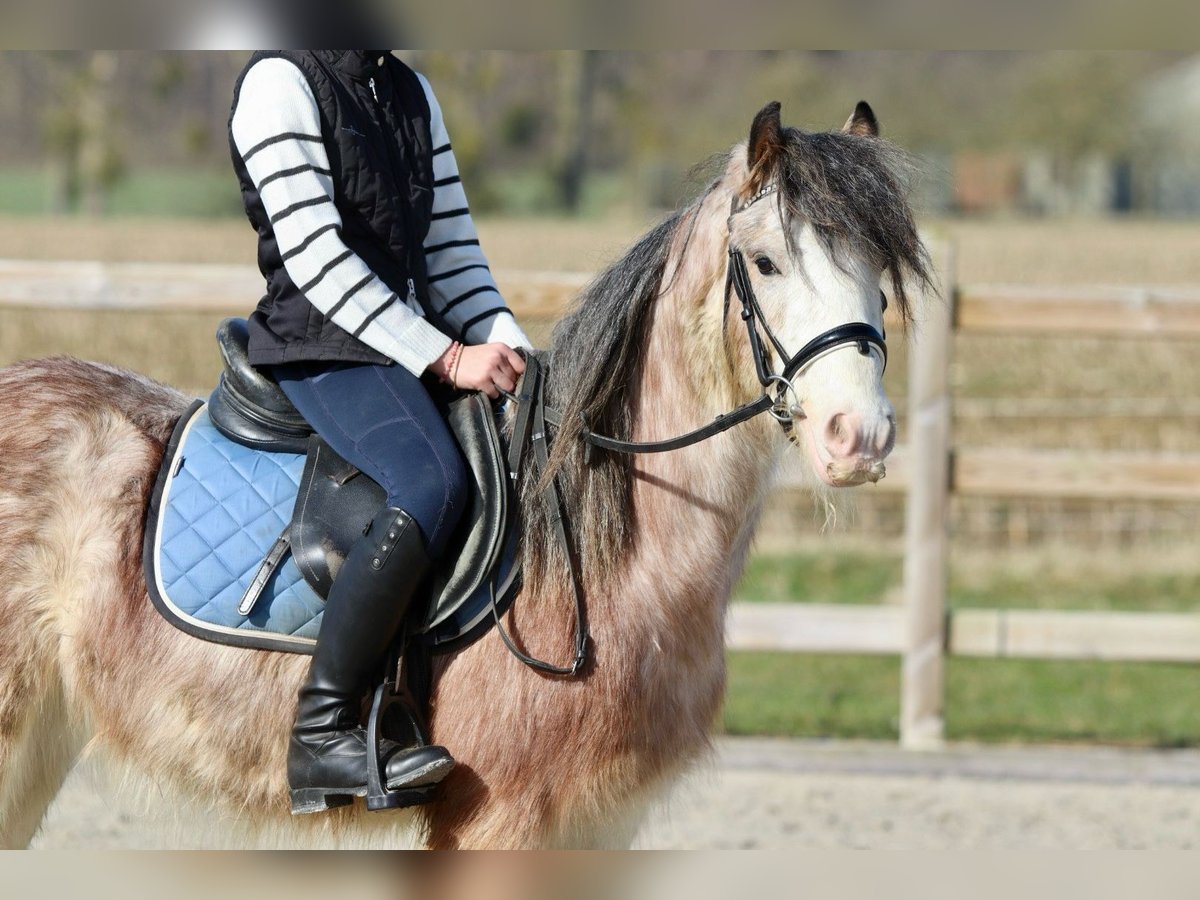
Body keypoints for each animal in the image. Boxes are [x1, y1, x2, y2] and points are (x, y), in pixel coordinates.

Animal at [0, 102, 926, 849]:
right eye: (766, 262)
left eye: (878, 276)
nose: (860, 436)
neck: (608, 554)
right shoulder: (502, 821)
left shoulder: (600, 829)